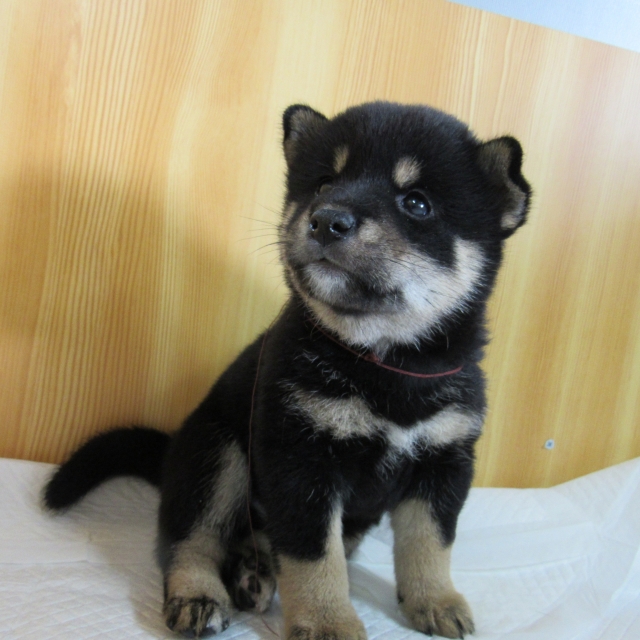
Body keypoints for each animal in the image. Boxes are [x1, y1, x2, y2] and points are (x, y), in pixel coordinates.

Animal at [44, 101, 530, 639]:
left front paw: (435, 599)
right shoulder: (301, 459)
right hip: (217, 455)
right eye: (322, 184)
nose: (327, 219)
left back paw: (252, 571)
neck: (386, 365)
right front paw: (327, 622)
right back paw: (201, 593)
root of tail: (170, 449)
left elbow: (429, 544)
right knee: (192, 539)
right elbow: (316, 557)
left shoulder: (444, 463)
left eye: (417, 203)